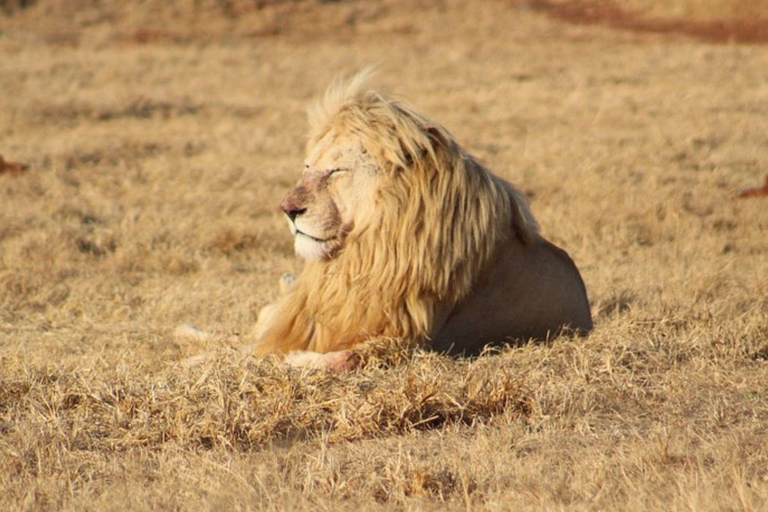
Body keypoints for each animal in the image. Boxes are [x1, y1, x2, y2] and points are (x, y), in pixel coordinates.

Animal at [238, 72, 592, 371]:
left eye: (337, 171)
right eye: (307, 167)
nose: (287, 209)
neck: (365, 252)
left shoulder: (416, 339)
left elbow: (351, 356)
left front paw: (295, 360)